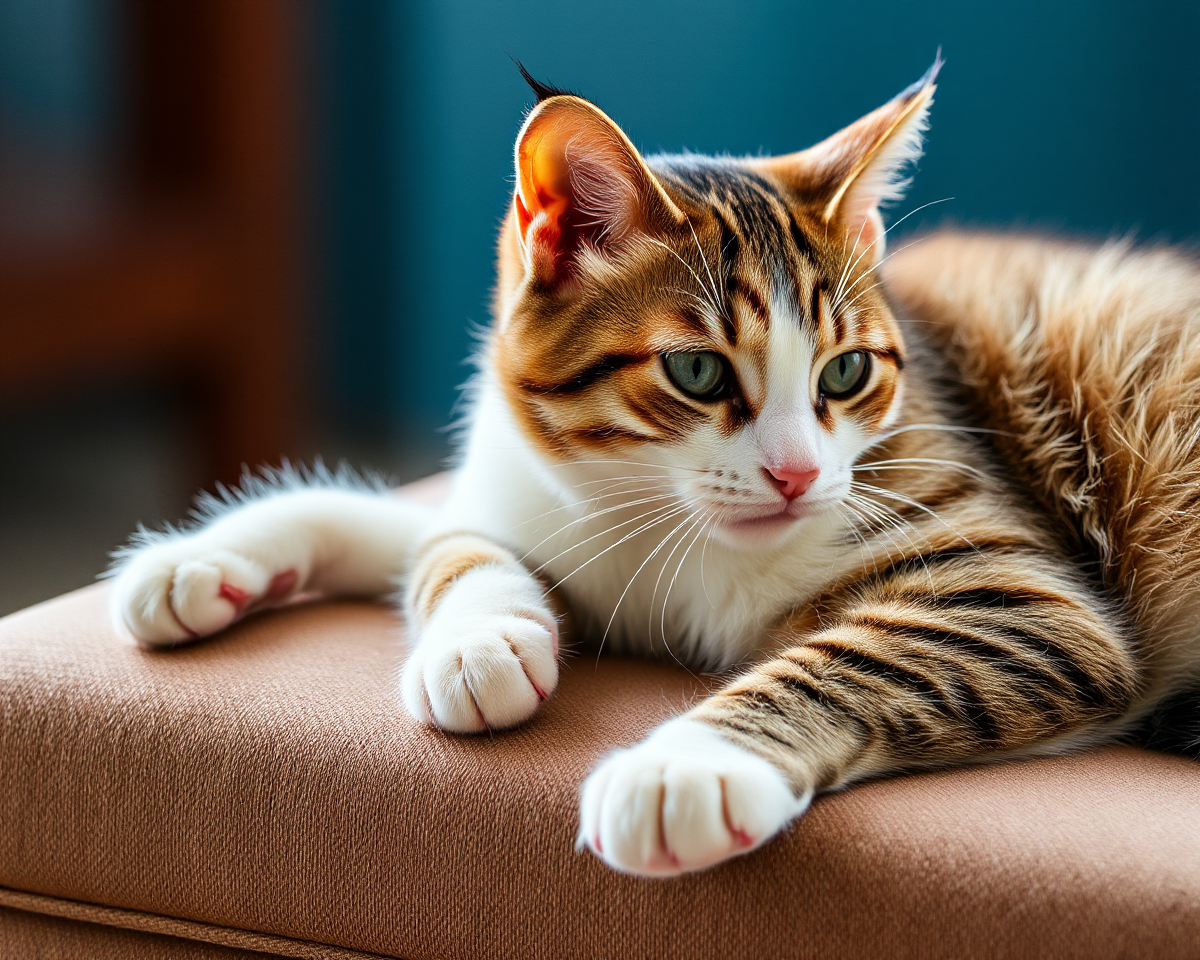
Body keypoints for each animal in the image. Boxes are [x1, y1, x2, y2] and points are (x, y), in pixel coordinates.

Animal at [105, 61, 1200, 878]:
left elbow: (857, 656)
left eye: (846, 372)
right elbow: (442, 537)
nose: (801, 478)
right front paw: (220, 566)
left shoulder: (1014, 587)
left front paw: (687, 768)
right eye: (698, 371)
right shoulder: (523, 491)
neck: (649, 522)